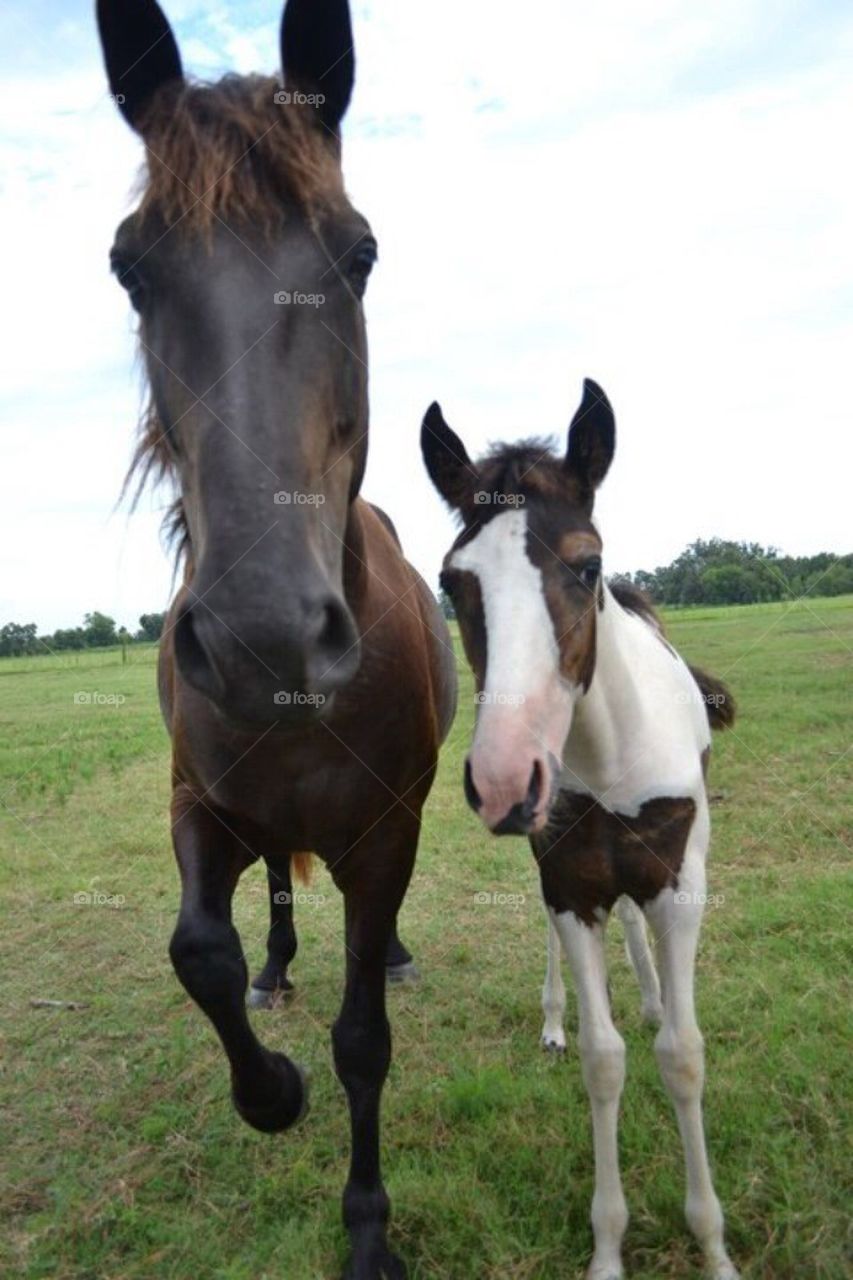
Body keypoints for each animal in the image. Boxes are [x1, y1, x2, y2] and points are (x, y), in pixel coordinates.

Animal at [96, 3, 456, 1277]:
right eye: (131, 267)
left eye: (358, 255)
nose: (265, 641)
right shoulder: (195, 802)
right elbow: (194, 950)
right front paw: (271, 1087)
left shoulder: (384, 835)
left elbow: (364, 1040)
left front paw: (367, 1227)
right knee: (271, 905)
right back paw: (276, 969)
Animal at [421, 380, 739, 1280]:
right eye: (450, 581)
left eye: (587, 563)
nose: (503, 779)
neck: (605, 756)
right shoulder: (566, 886)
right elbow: (604, 1062)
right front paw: (606, 1247)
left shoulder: (679, 888)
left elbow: (682, 1054)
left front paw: (712, 1244)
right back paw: (555, 1019)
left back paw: (652, 994)